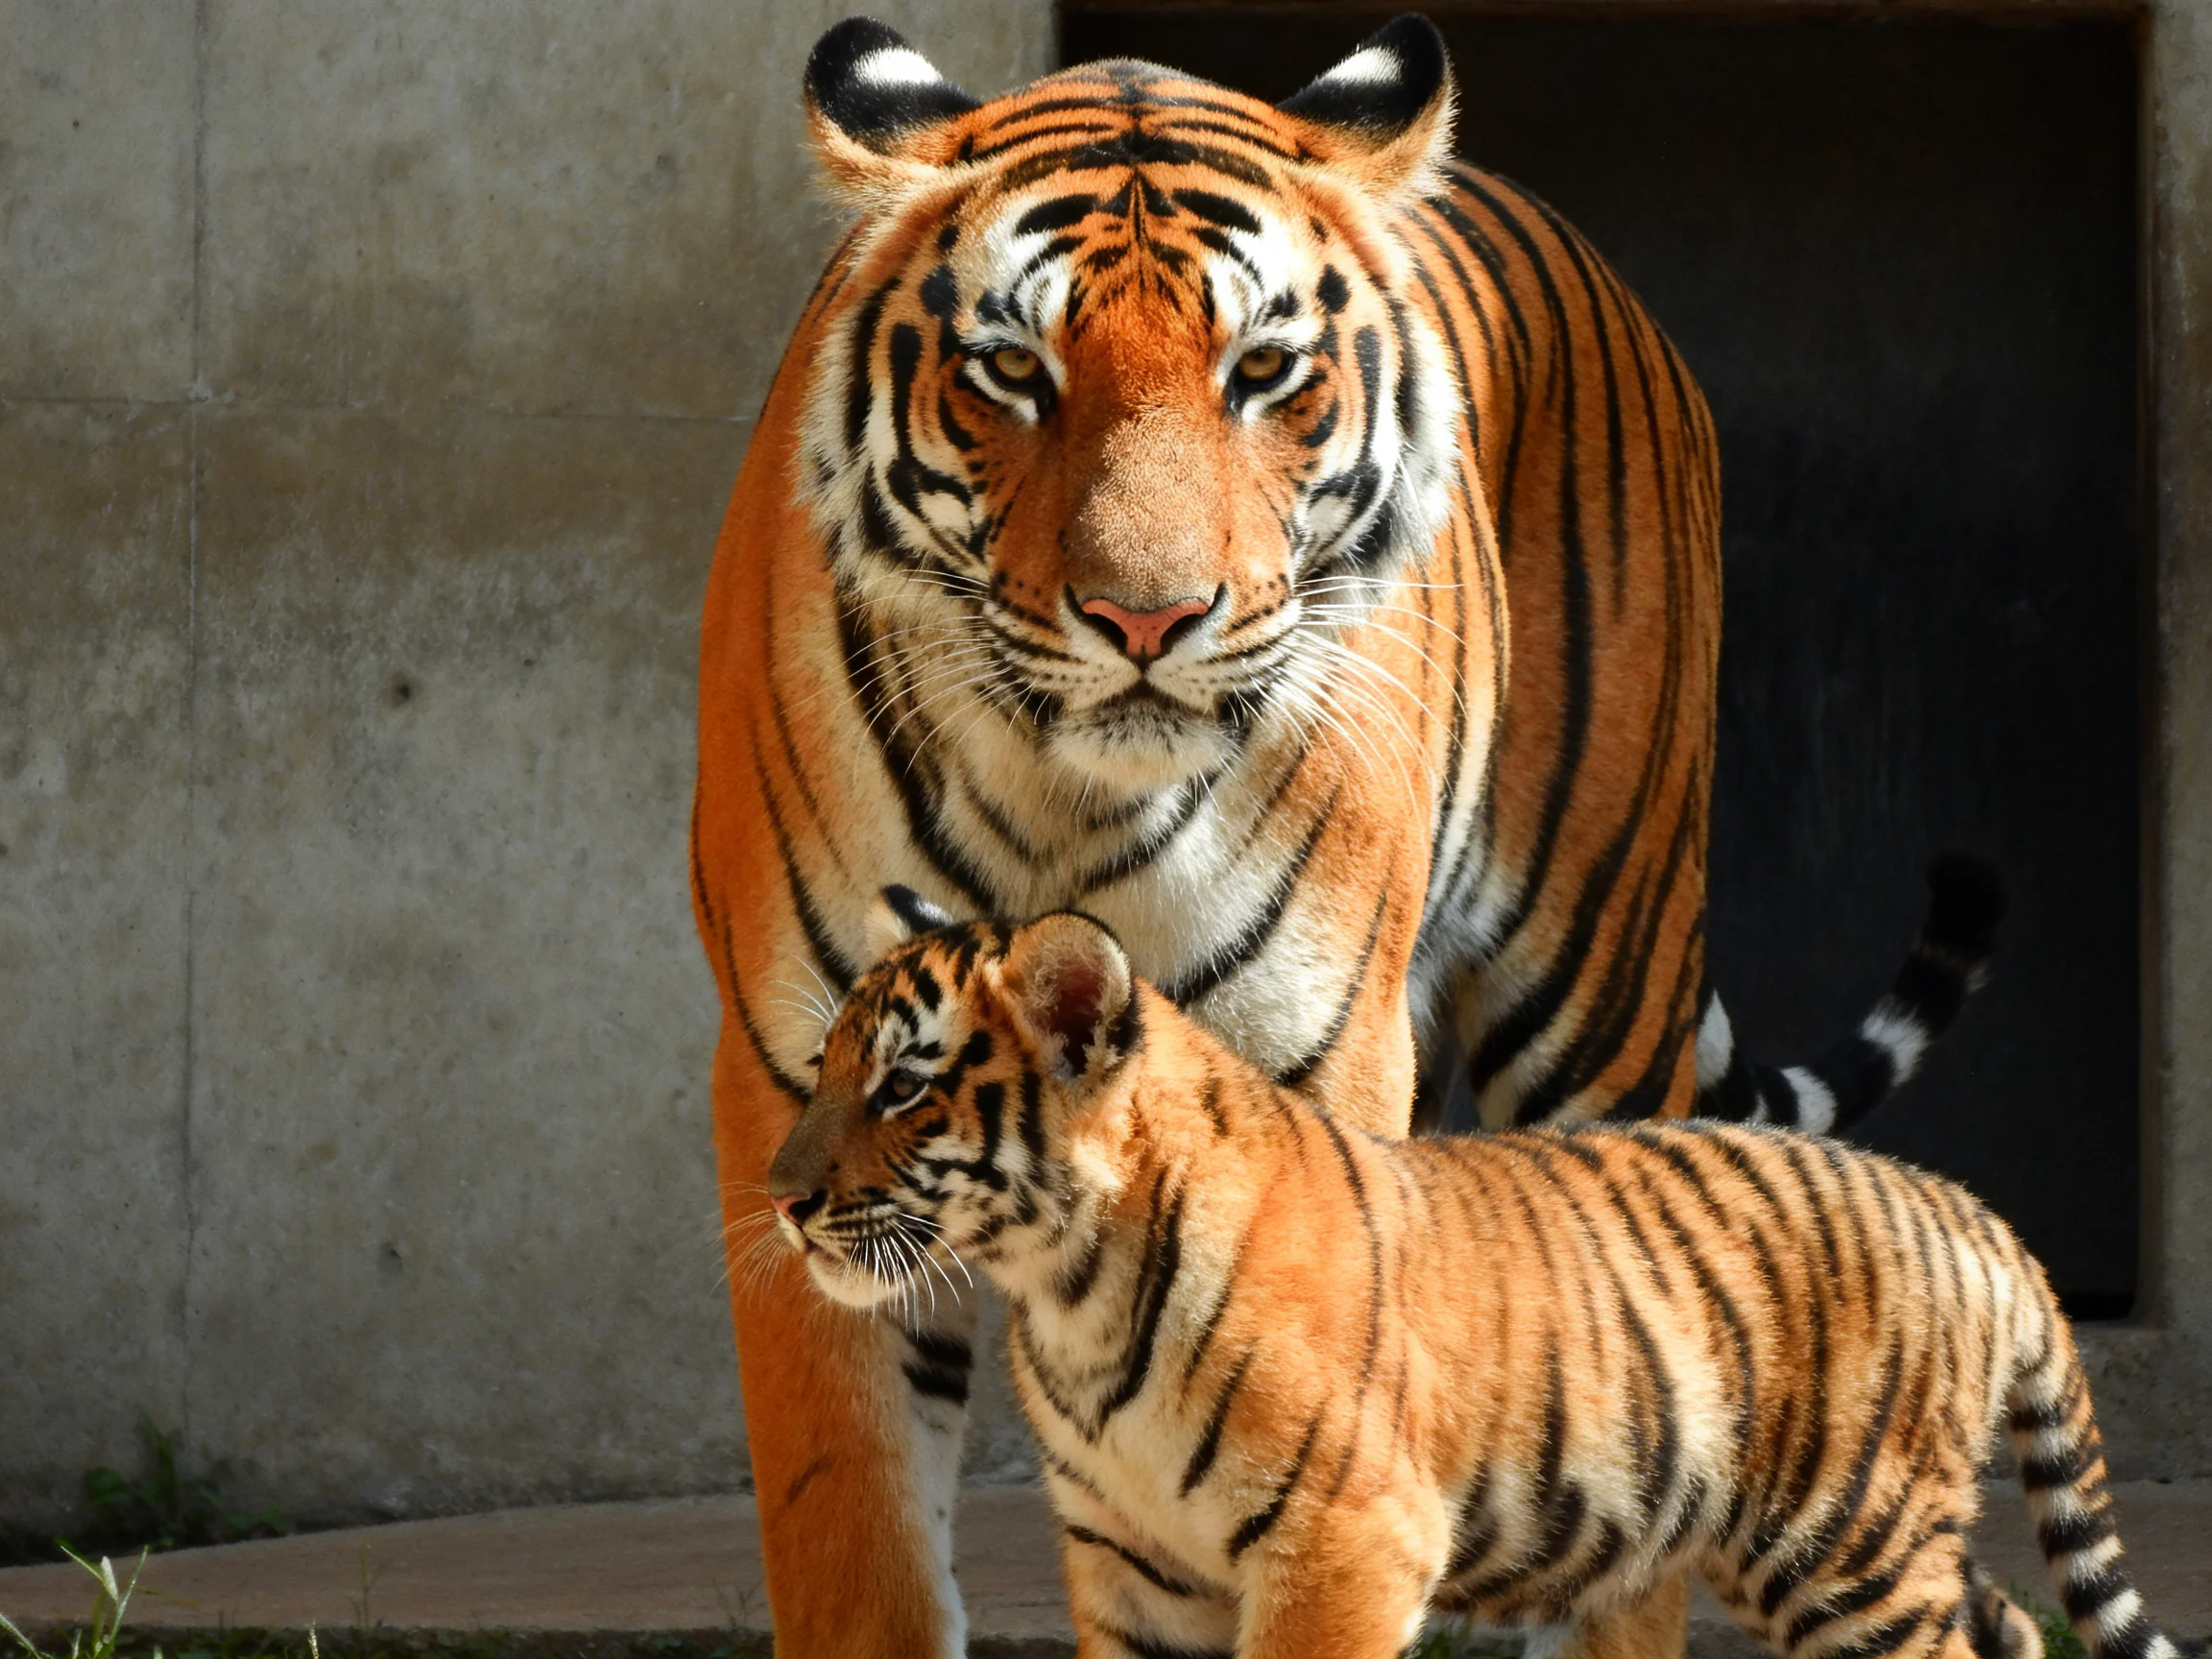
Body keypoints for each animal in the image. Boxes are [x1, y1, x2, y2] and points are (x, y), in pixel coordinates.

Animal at [689, 14, 2001, 1656]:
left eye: (1261, 371)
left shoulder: (1313, 1080)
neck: (1064, 791)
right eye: (1012, 371)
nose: (1147, 620)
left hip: (1604, 998)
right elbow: (857, 1541)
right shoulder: (796, 1085)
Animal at [766, 893, 2167, 1659]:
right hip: (1853, 1544)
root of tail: (1970, 1210)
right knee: (2006, 1621)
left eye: (900, 1088)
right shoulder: (1137, 1564)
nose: (779, 1200)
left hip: (1848, 1548)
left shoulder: (1346, 1539)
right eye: (826, 1068)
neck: (1064, 1290)